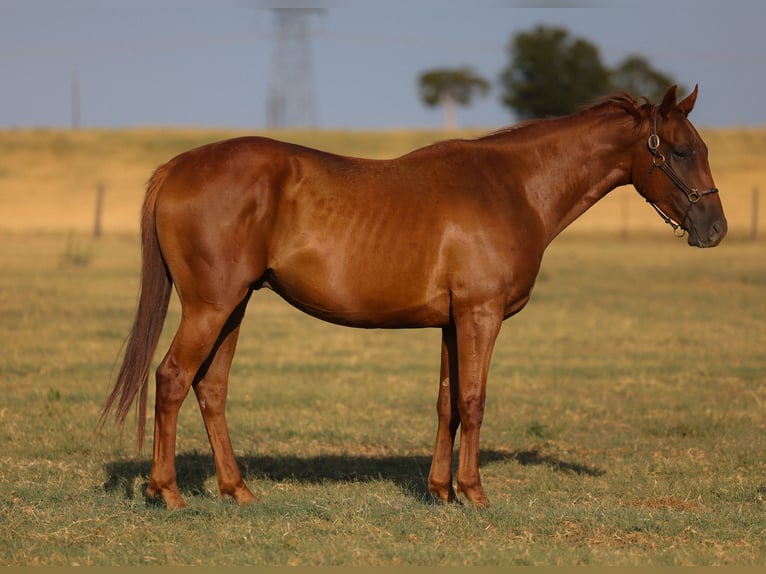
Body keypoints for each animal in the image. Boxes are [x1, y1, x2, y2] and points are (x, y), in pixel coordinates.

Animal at [101, 85, 726, 509]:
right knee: (172, 379)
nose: (715, 228)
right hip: (211, 306)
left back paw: (237, 490)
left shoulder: (453, 321)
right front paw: (474, 492)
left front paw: (440, 490)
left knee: (211, 388)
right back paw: (167, 492)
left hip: (234, 306)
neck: (514, 186)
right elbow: (474, 401)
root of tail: (178, 166)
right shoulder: (481, 314)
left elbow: (448, 403)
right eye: (677, 150)